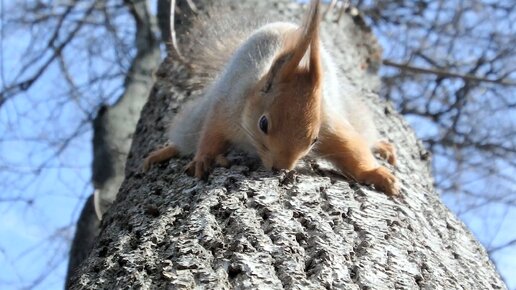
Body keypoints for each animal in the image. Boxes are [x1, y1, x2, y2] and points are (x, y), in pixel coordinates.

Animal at [144, 0, 400, 196]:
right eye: (263, 124)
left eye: (314, 140)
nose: (281, 167)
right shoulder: (228, 106)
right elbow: (211, 134)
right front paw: (203, 159)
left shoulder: (329, 123)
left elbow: (352, 149)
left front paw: (377, 174)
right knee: (189, 134)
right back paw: (164, 152)